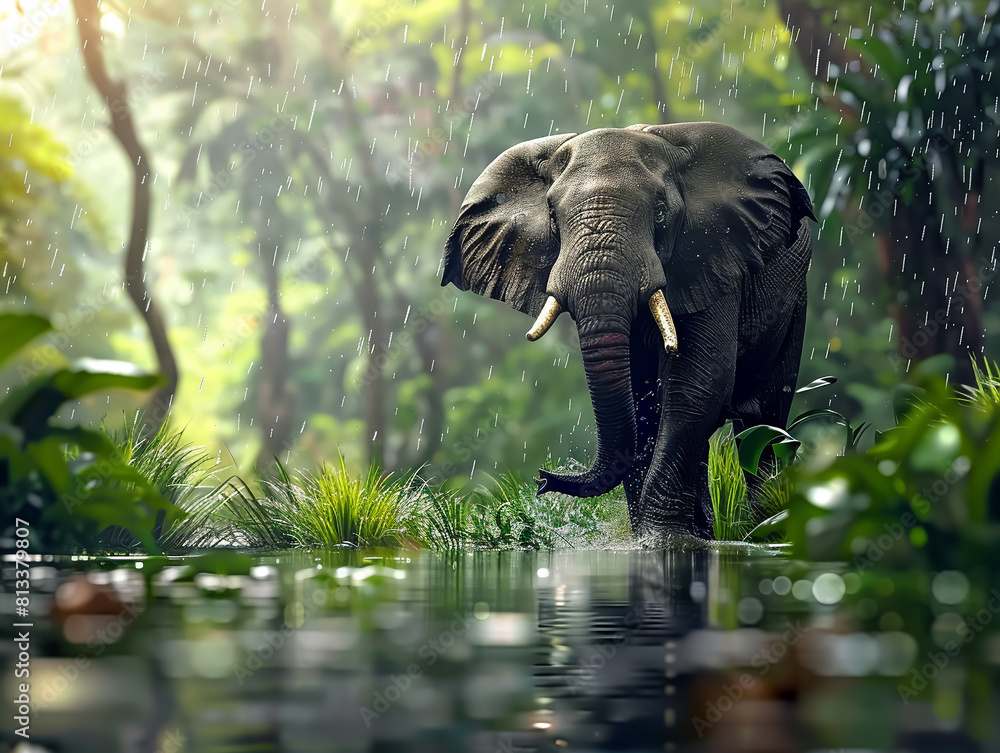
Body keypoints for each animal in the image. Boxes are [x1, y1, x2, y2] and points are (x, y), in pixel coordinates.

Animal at [440, 123, 814, 540]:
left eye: (662, 213)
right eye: (552, 215)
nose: (543, 479)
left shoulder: (713, 257)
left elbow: (698, 384)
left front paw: (663, 541)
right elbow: (642, 402)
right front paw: (652, 538)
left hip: (795, 298)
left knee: (764, 416)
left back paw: (762, 526)